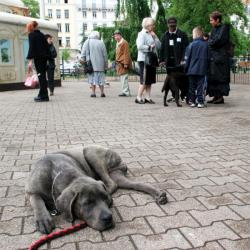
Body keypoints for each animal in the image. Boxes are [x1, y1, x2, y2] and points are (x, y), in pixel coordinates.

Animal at [25, 146, 168, 233]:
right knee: (130, 184)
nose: (108, 218)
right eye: (87, 203)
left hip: (91, 153)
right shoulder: (30, 192)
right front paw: (43, 220)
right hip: (115, 173)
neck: (57, 172)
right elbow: (37, 200)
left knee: (111, 183)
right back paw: (159, 194)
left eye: (104, 199)